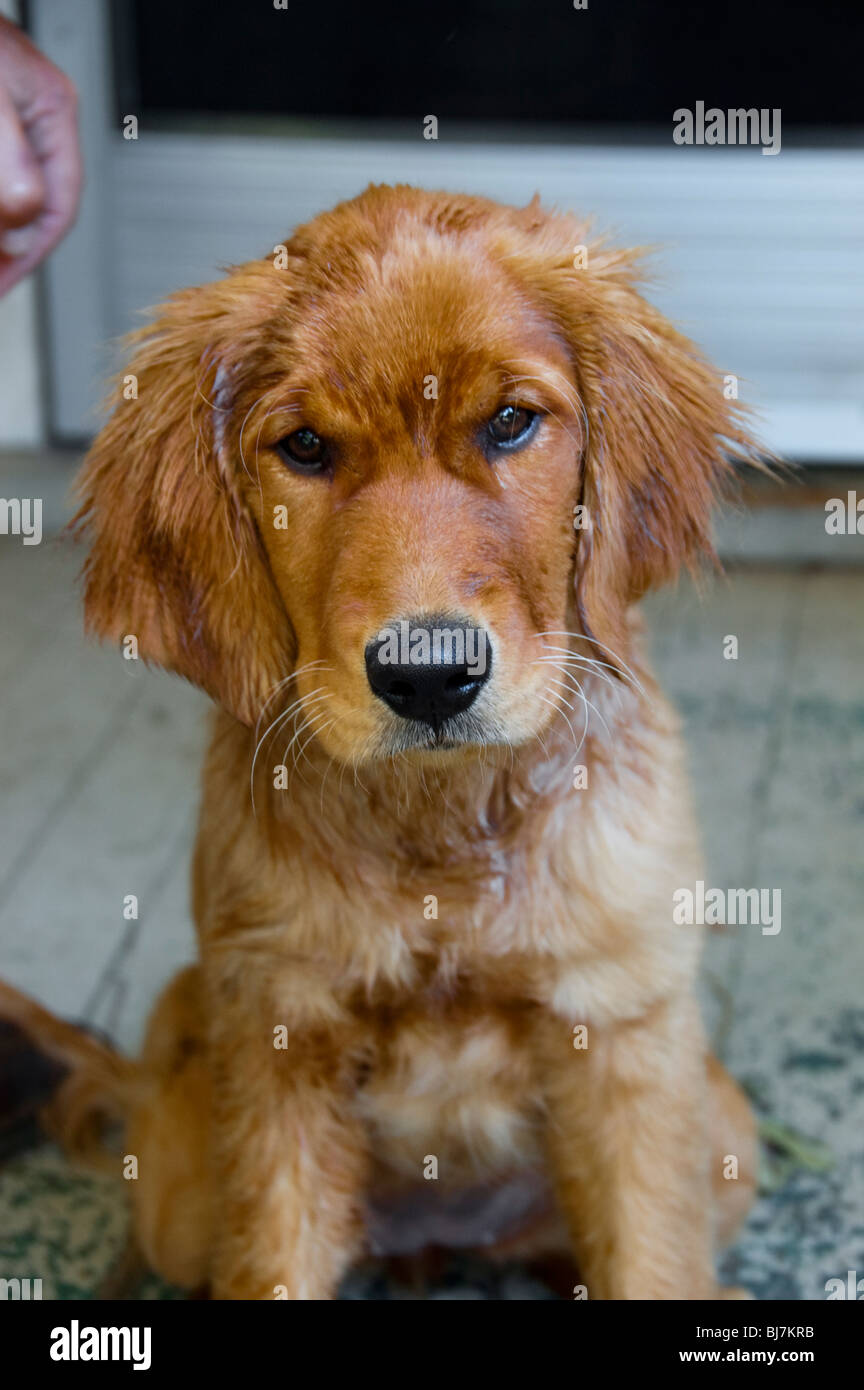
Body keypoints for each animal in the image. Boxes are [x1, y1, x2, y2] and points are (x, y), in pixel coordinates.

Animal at [8, 187, 766, 1301]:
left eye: (510, 422)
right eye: (305, 448)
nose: (428, 676)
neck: (442, 833)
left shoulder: (625, 1034)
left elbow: (650, 1261)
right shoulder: (279, 1043)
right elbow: (269, 1264)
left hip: (726, 1134)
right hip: (186, 1172)